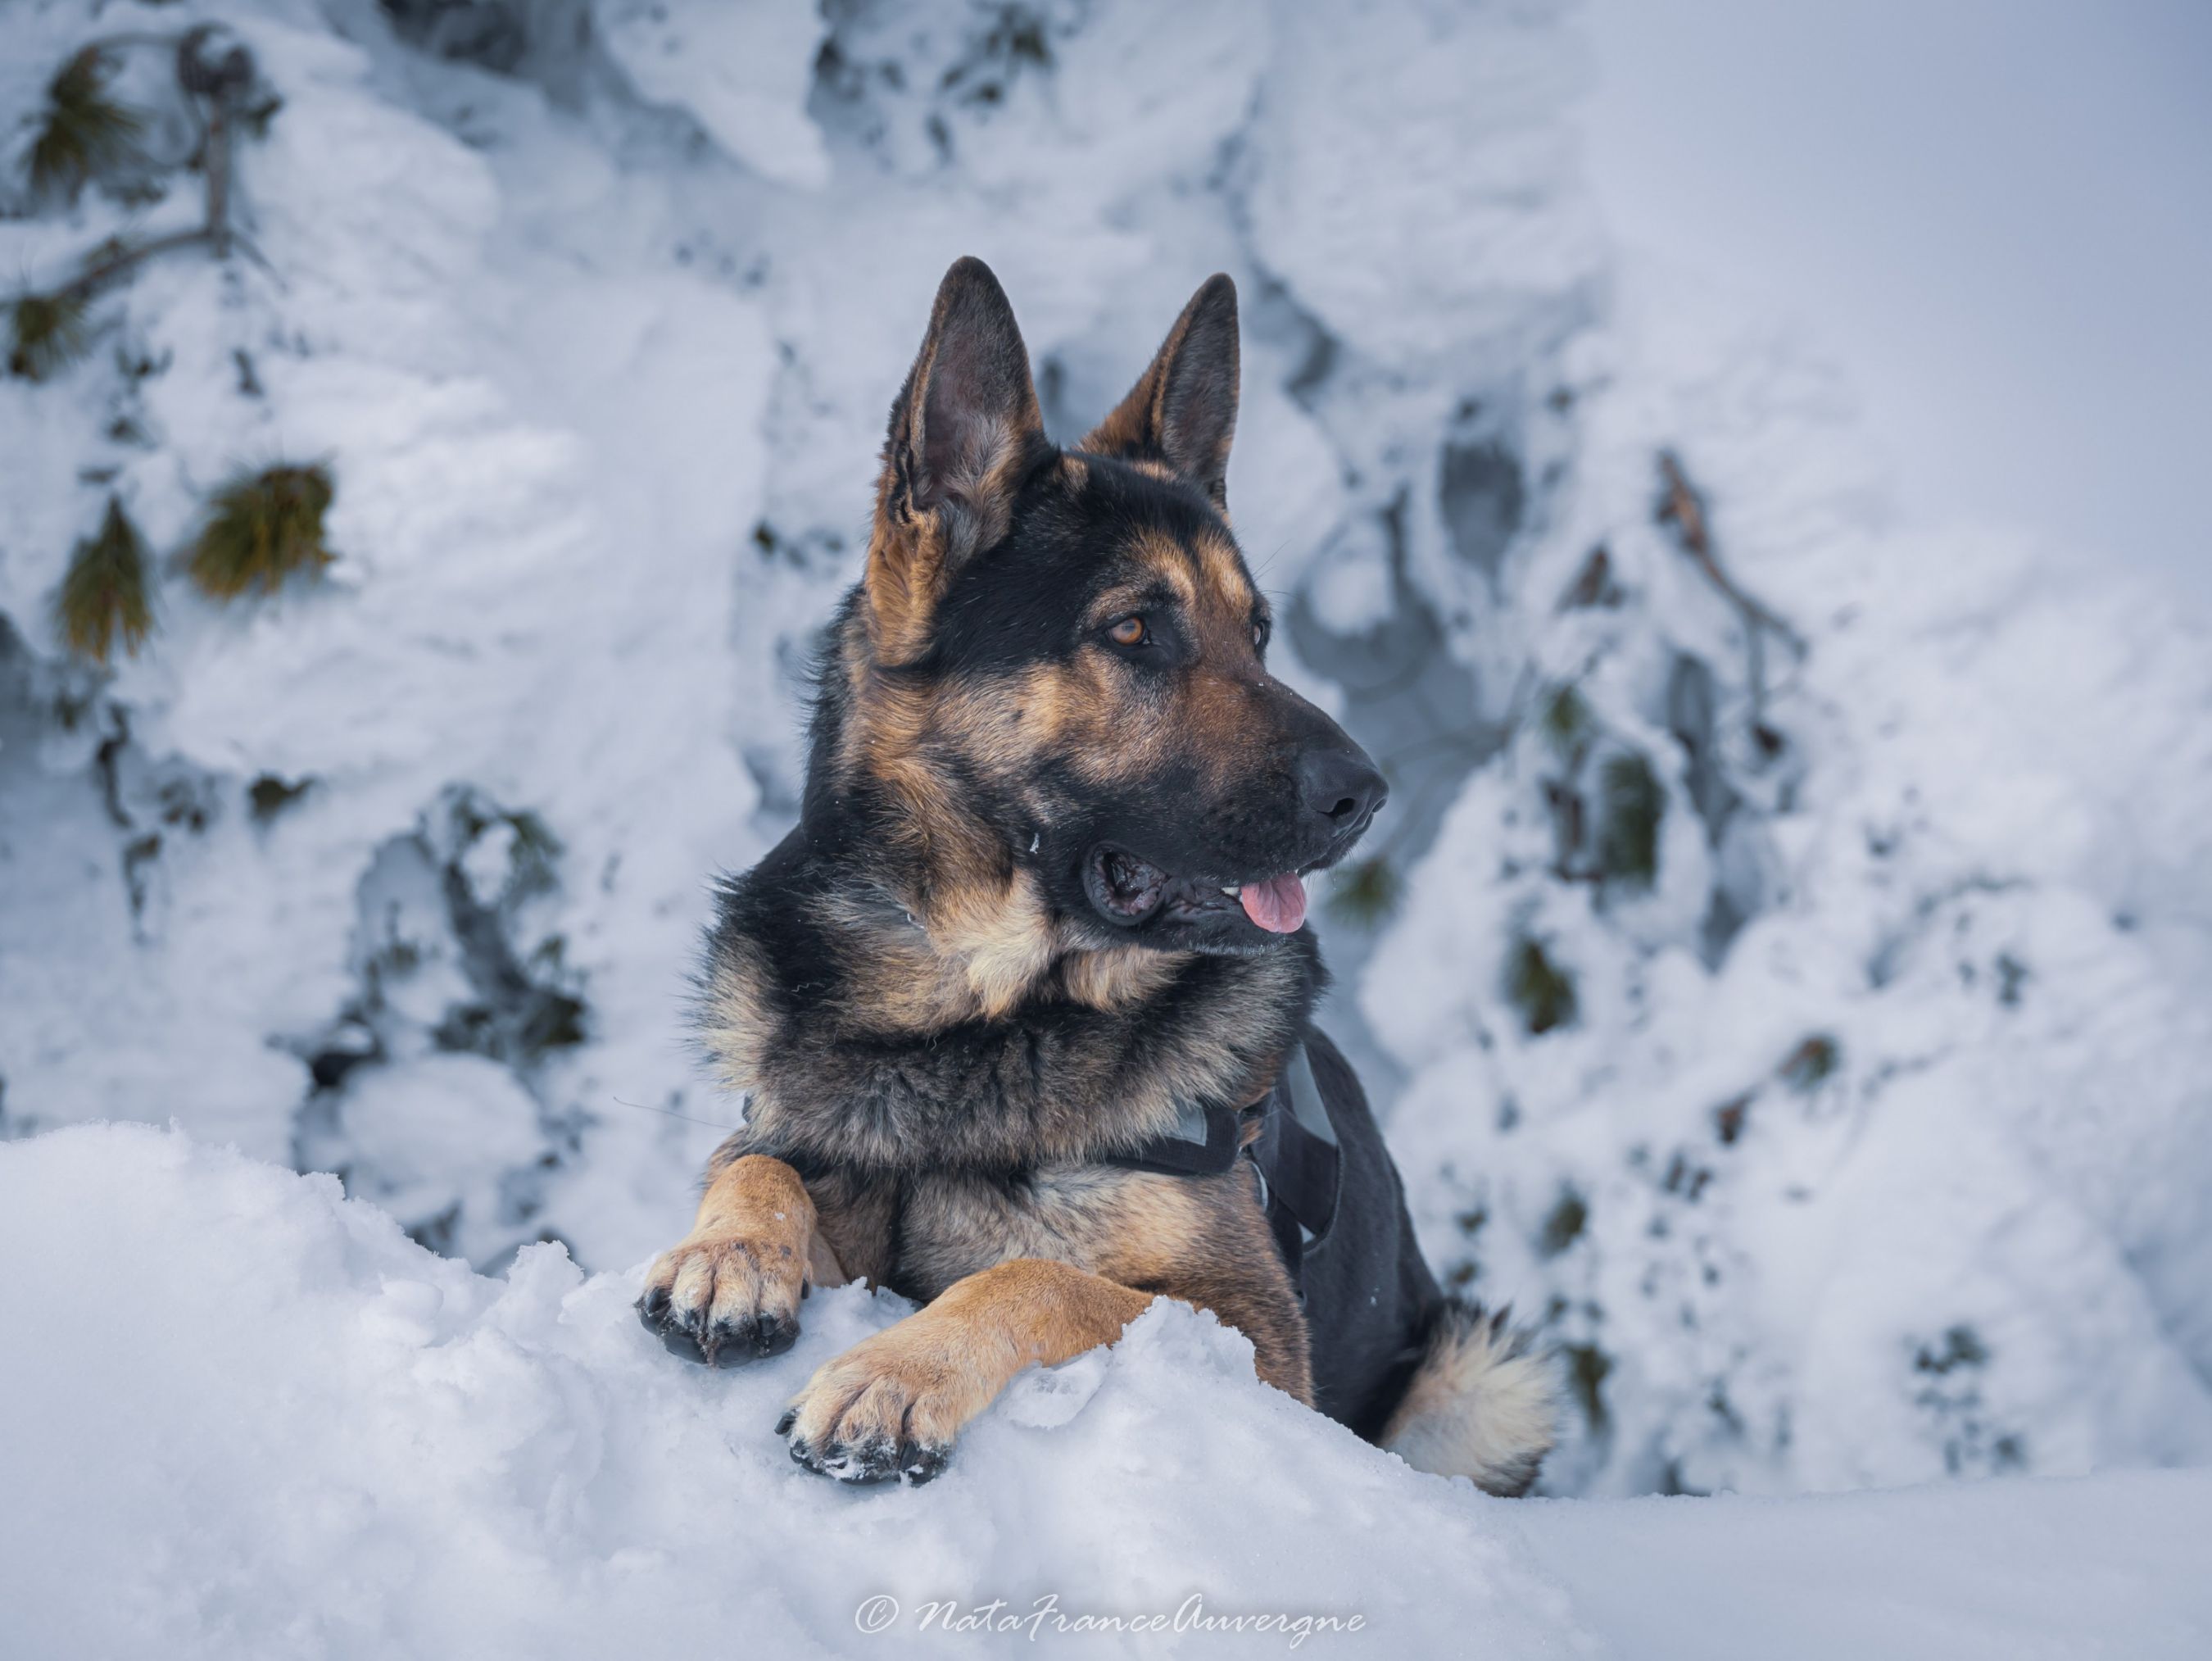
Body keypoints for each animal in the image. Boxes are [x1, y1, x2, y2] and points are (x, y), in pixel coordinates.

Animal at [632, 256, 1548, 1495]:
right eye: (1133, 630)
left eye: (1259, 632)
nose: (1366, 792)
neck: (976, 1010)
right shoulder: (811, 1155)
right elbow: (755, 1160)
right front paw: (725, 1252)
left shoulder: (1254, 1338)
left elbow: (1040, 1274)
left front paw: (890, 1374)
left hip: (1483, 1373)